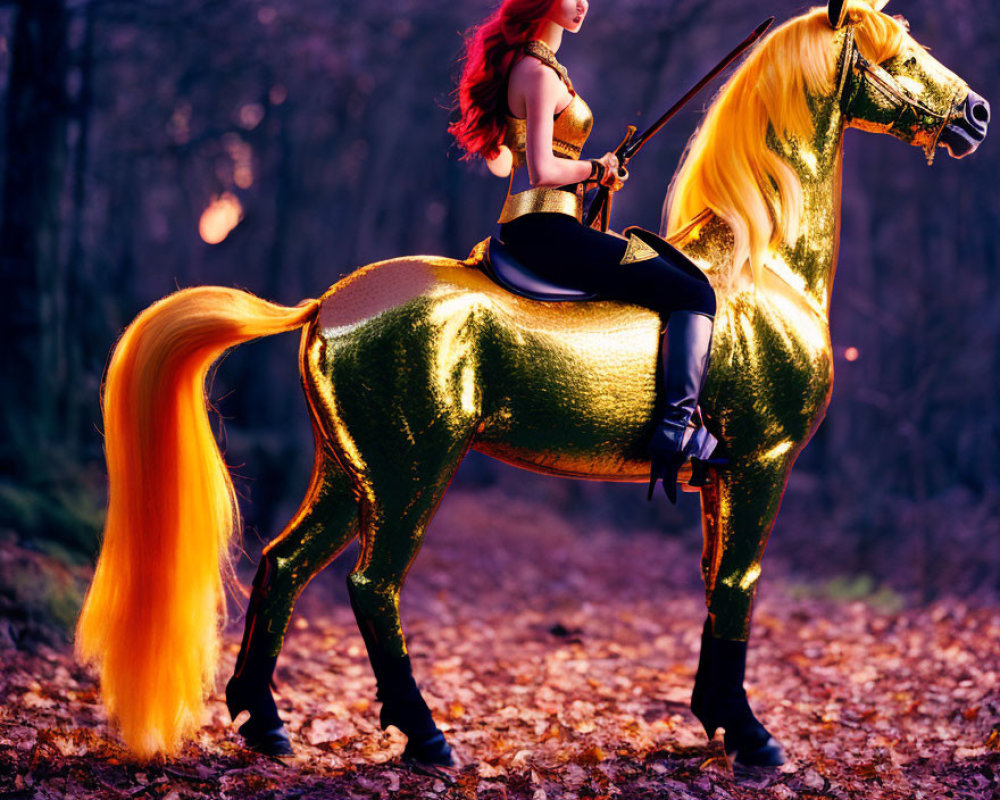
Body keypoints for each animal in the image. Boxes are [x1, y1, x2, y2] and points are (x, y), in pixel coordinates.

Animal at [76, 0, 984, 764]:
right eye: (901, 55)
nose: (976, 114)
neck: (764, 266)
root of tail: (329, 303)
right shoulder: (764, 463)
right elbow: (738, 586)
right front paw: (752, 737)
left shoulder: (727, 477)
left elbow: (713, 586)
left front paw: (716, 720)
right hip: (410, 472)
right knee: (372, 587)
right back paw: (426, 740)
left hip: (348, 471)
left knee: (282, 564)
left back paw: (265, 724)